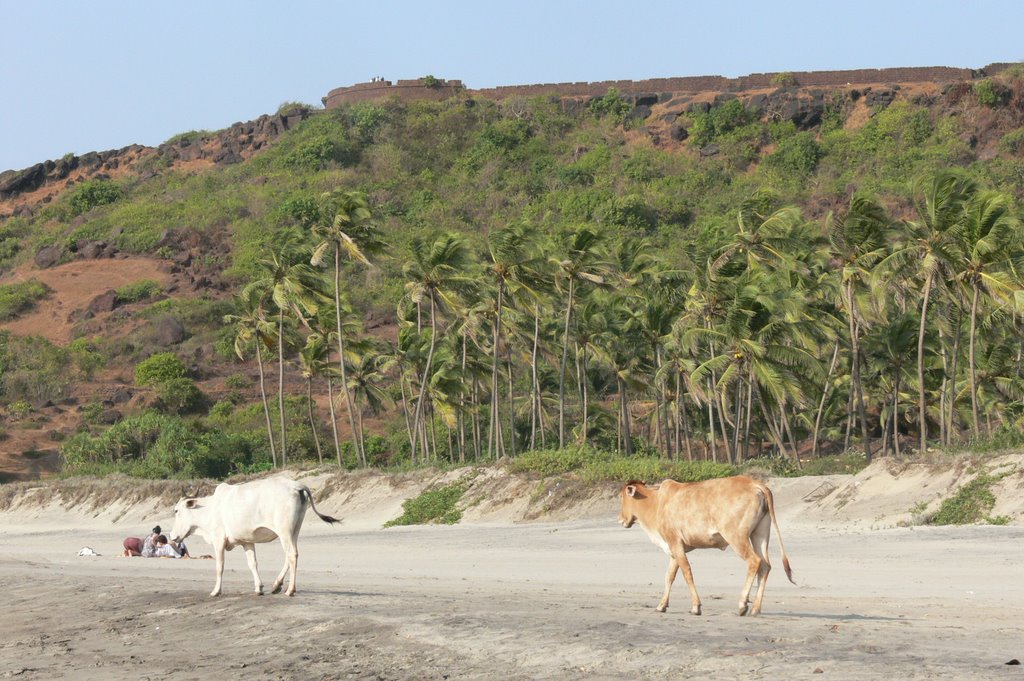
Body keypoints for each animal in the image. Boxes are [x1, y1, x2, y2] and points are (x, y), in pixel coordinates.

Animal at [168, 477, 339, 593]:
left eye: (176, 511)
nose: (172, 536)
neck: (209, 509)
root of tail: (297, 485)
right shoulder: (246, 541)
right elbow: (252, 564)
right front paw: (259, 587)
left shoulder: (218, 540)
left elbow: (219, 566)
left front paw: (216, 591)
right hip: (294, 530)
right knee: (291, 555)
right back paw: (277, 585)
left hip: (284, 531)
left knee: (291, 554)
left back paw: (290, 590)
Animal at [614, 473, 790, 614]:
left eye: (621, 497)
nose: (620, 519)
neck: (656, 504)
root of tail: (755, 484)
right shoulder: (674, 548)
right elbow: (669, 576)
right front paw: (661, 605)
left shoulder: (675, 543)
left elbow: (687, 572)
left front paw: (695, 606)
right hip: (759, 535)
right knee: (765, 566)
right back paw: (755, 609)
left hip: (736, 537)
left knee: (754, 561)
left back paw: (742, 605)